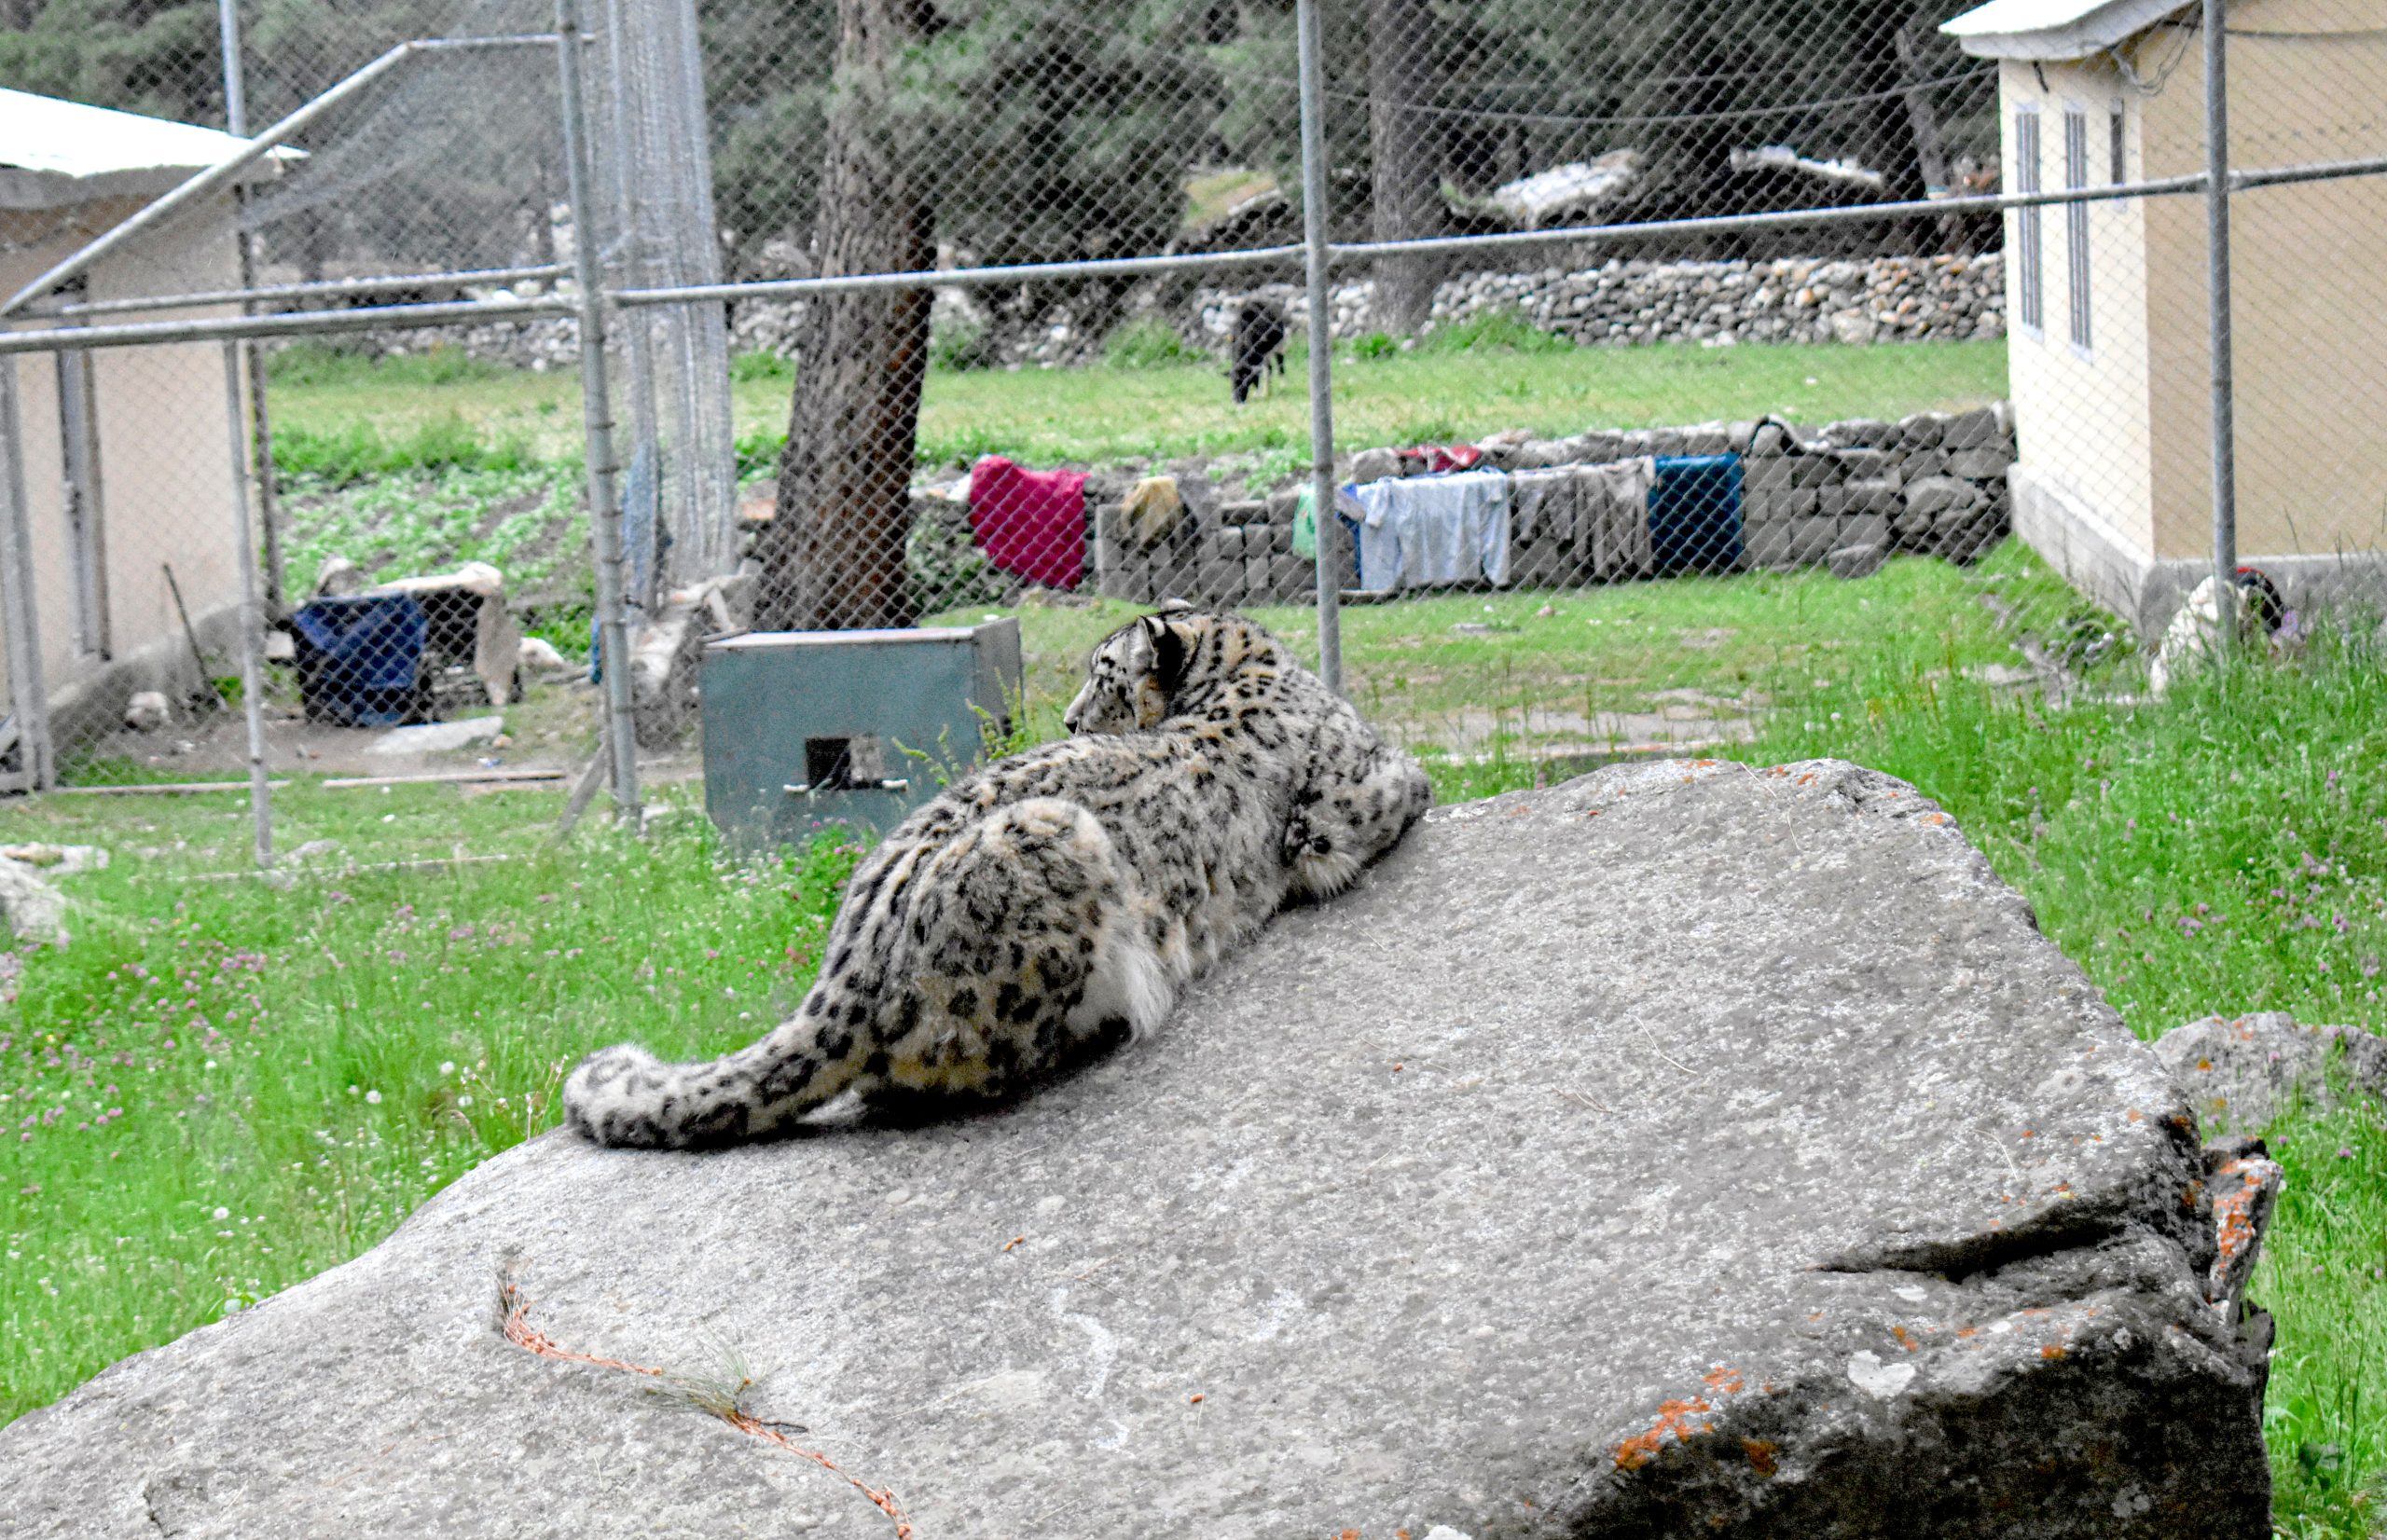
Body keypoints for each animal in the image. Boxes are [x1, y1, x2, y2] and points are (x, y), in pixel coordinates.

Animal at [559, 606, 1422, 1146]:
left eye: (1106, 672)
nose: (1068, 718)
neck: (1245, 671)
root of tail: (842, 978)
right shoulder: (1351, 800)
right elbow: (1409, 779)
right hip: (1056, 844)